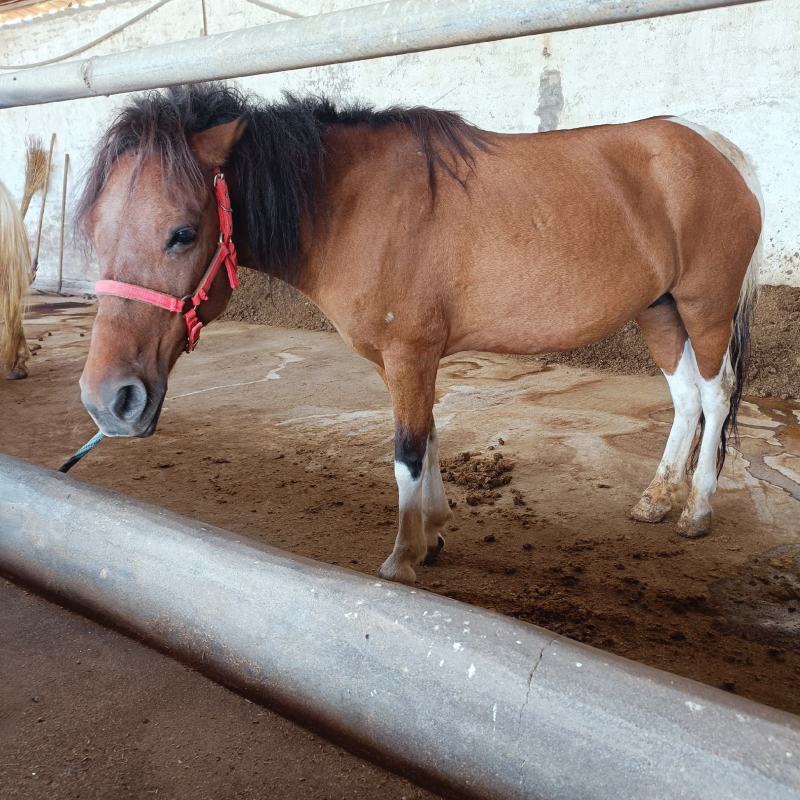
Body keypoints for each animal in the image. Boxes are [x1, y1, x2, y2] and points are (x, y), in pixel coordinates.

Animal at [77, 83, 762, 584]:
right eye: (94, 231)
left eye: (182, 233)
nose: (110, 401)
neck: (351, 206)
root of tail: (719, 150)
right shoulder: (405, 360)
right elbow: (428, 437)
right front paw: (432, 533)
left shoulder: (409, 353)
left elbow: (406, 452)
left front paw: (403, 556)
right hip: (658, 309)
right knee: (685, 396)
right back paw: (657, 498)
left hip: (703, 306)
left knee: (716, 392)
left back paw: (697, 509)